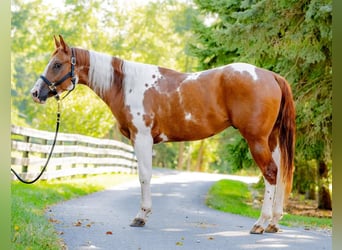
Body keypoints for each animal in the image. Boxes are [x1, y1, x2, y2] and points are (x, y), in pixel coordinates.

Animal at [30, 35, 296, 234]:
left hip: (256, 140)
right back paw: (273, 222)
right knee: (280, 172)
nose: (35, 93)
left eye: (57, 64)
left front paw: (141, 216)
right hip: (271, 140)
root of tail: (271, 75)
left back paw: (260, 223)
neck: (127, 85)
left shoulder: (142, 138)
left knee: (271, 173)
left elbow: (145, 176)